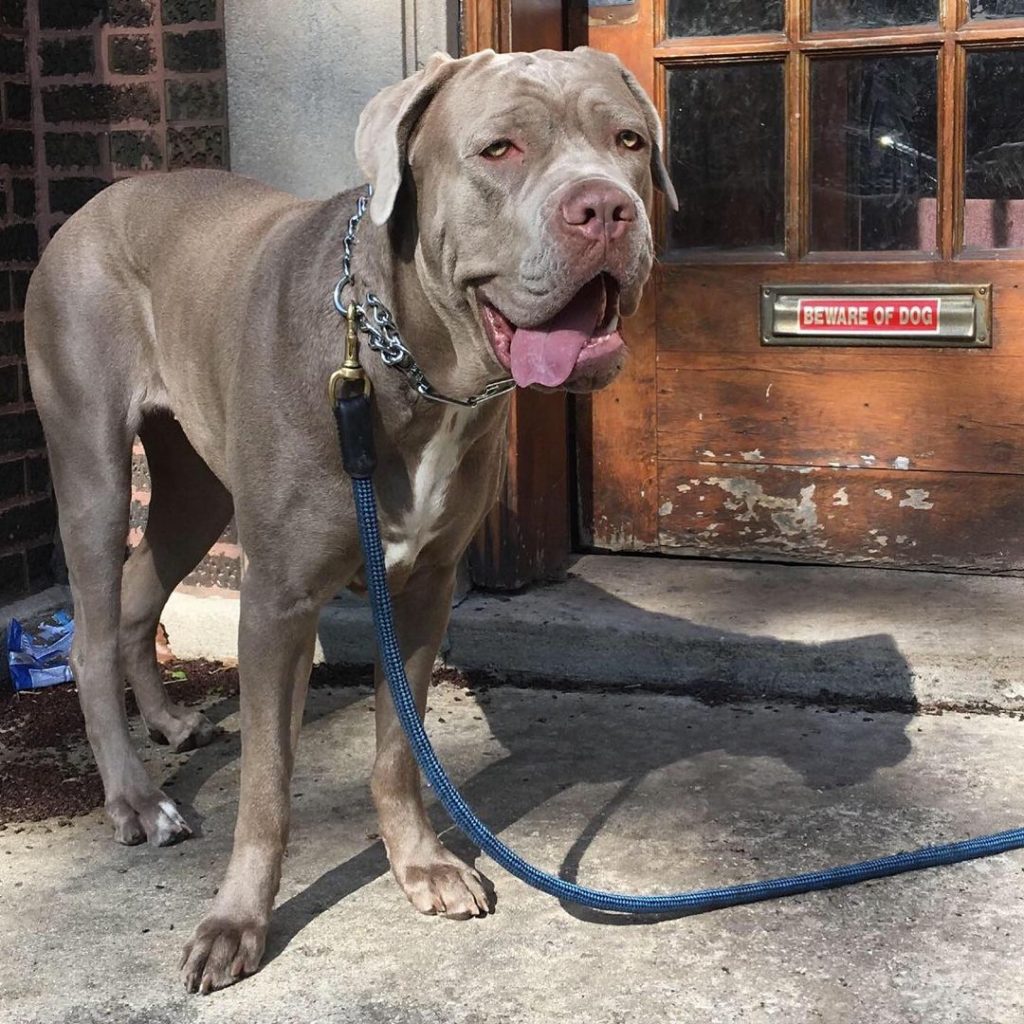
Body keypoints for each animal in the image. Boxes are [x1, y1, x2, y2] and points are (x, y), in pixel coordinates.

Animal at [22, 48, 679, 991]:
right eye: (500, 149)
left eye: (628, 141)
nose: (606, 208)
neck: (407, 360)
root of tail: (92, 206)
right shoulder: (278, 601)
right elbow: (267, 785)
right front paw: (237, 923)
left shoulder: (427, 586)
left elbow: (399, 746)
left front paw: (420, 865)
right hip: (93, 465)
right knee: (89, 628)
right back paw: (136, 798)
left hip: (196, 486)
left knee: (141, 593)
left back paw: (171, 722)